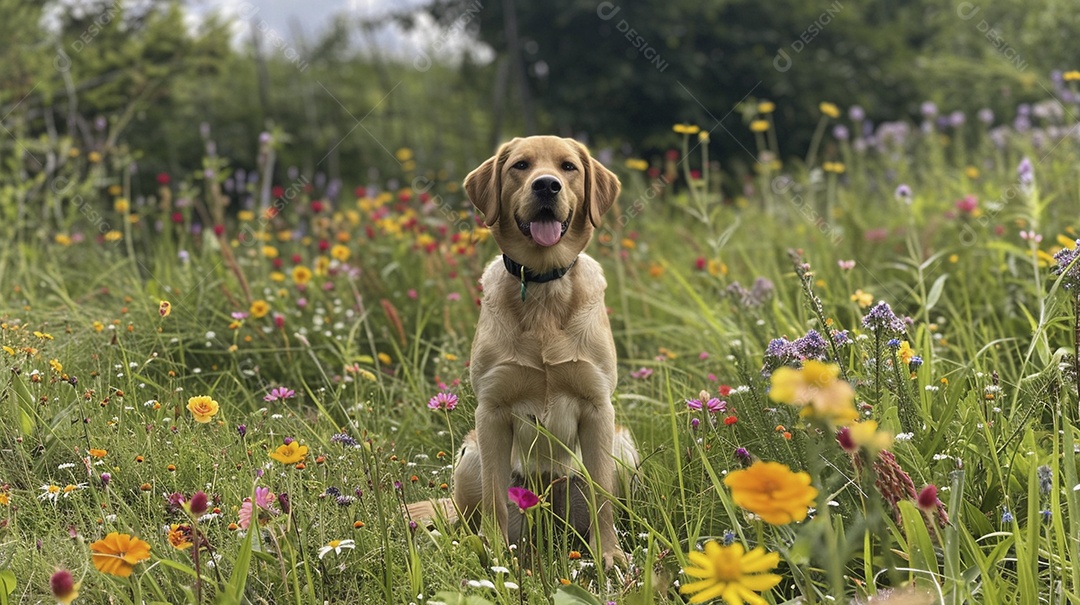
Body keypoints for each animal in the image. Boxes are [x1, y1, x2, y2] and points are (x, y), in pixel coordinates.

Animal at [408, 136, 635, 566]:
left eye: (568, 167)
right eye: (521, 165)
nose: (546, 185)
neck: (544, 284)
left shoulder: (598, 407)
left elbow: (601, 496)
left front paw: (609, 555)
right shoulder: (492, 412)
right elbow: (496, 500)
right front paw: (496, 555)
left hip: (623, 447)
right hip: (469, 455)